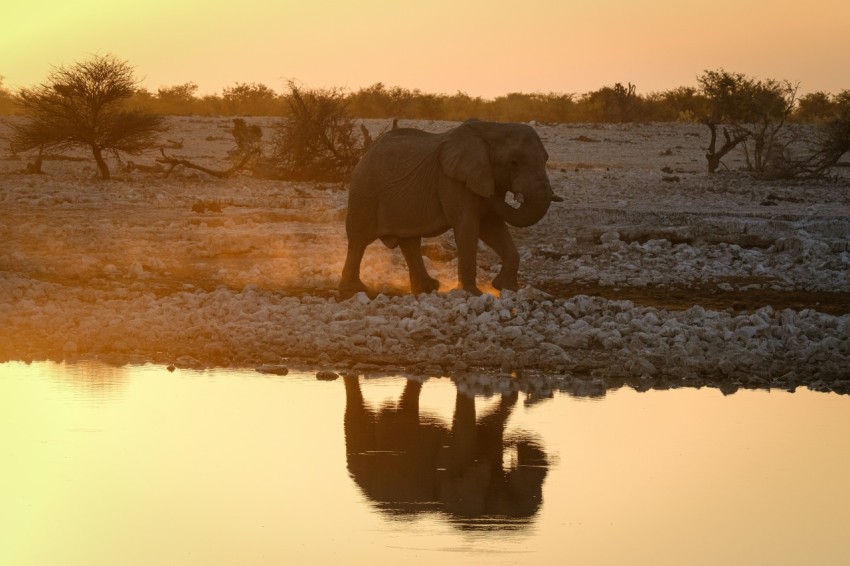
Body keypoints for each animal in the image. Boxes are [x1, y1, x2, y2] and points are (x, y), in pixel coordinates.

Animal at [338, 120, 556, 298]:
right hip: (364, 190)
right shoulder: (452, 181)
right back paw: (354, 290)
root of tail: (365, 153)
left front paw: (507, 288)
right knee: (359, 240)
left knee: (410, 243)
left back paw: (427, 289)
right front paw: (472, 293)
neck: (492, 128)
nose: (490, 193)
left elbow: (492, 227)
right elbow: (468, 228)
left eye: (546, 159)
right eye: (513, 163)